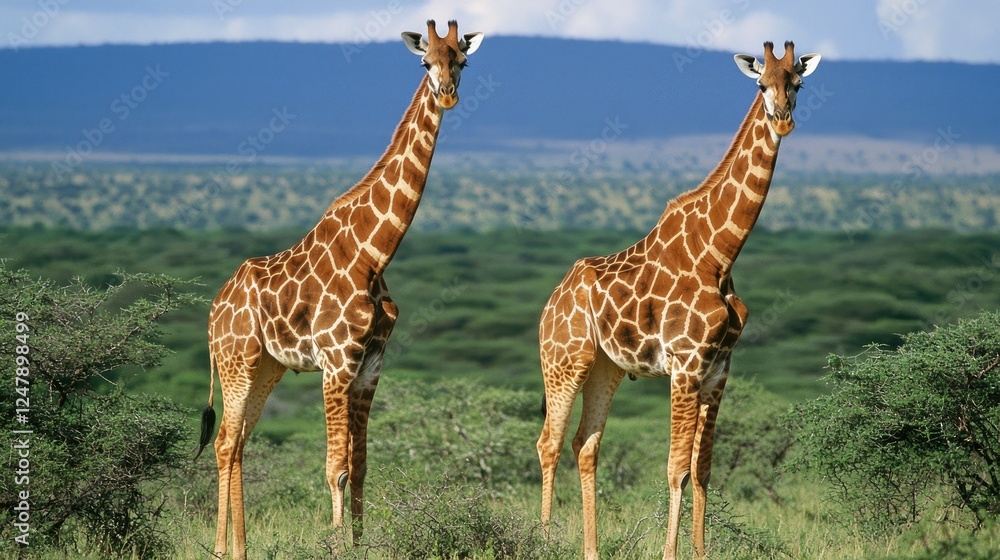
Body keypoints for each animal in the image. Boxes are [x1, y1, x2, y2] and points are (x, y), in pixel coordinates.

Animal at [194, 20, 483, 560]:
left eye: (462, 60)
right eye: (424, 61)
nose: (448, 95)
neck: (375, 253)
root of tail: (212, 313)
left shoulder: (371, 365)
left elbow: (362, 467)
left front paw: (361, 542)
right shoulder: (336, 362)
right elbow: (336, 468)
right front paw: (335, 545)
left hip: (266, 367)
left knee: (238, 442)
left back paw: (240, 546)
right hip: (237, 361)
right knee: (224, 442)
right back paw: (225, 549)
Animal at [536, 41, 820, 560]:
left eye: (798, 82)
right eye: (759, 83)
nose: (783, 119)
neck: (719, 254)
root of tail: (550, 303)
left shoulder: (718, 369)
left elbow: (702, 469)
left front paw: (700, 552)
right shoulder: (685, 366)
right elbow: (676, 468)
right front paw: (670, 553)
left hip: (605, 368)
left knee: (585, 443)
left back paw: (591, 549)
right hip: (564, 360)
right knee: (549, 442)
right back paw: (542, 541)